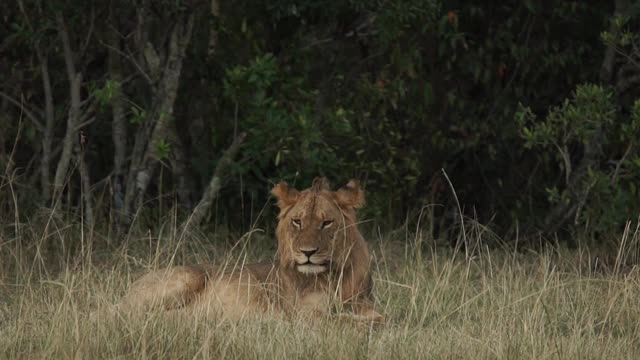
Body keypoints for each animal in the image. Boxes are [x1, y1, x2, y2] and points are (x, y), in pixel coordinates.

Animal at [112, 177, 382, 324]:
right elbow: (343, 322)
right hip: (185, 278)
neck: (334, 275)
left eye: (326, 223)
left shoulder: (363, 303)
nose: (307, 252)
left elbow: (381, 318)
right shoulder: (304, 315)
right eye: (297, 222)